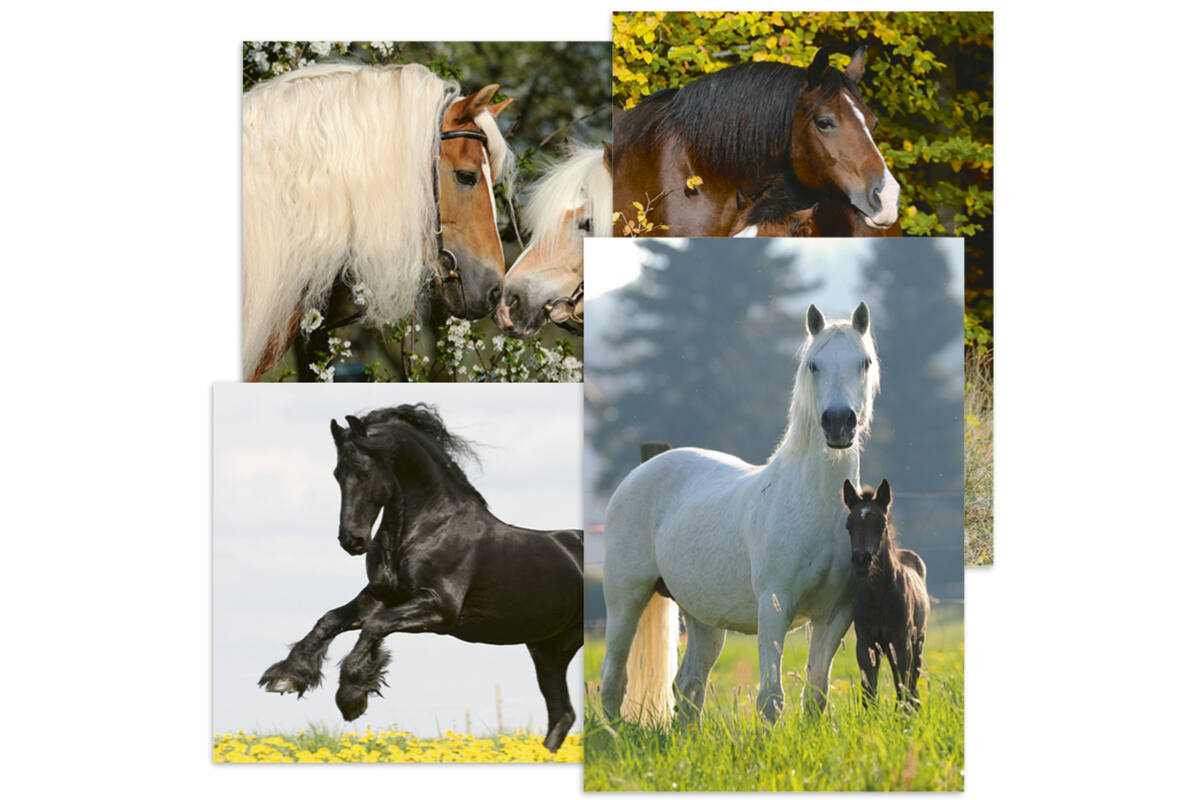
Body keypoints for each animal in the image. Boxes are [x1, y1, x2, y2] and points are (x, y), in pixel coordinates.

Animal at [257, 404, 583, 752]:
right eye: (337, 475)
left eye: (364, 472)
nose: (352, 541)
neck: (430, 527)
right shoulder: (380, 596)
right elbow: (330, 620)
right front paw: (286, 676)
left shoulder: (439, 609)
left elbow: (375, 626)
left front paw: (352, 697)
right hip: (547, 650)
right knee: (562, 713)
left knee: (565, 711)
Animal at [600, 302, 880, 725]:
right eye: (813, 365)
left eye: (864, 362)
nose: (838, 422)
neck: (813, 505)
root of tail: (638, 474)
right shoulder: (775, 606)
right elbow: (771, 698)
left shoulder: (835, 614)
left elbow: (816, 694)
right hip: (625, 600)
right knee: (613, 681)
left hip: (701, 617)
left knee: (688, 686)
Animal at [842, 479, 929, 709]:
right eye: (849, 525)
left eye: (881, 524)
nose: (861, 560)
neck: (878, 596)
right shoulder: (866, 644)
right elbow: (869, 693)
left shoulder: (901, 641)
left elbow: (903, 687)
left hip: (917, 642)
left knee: (911, 683)